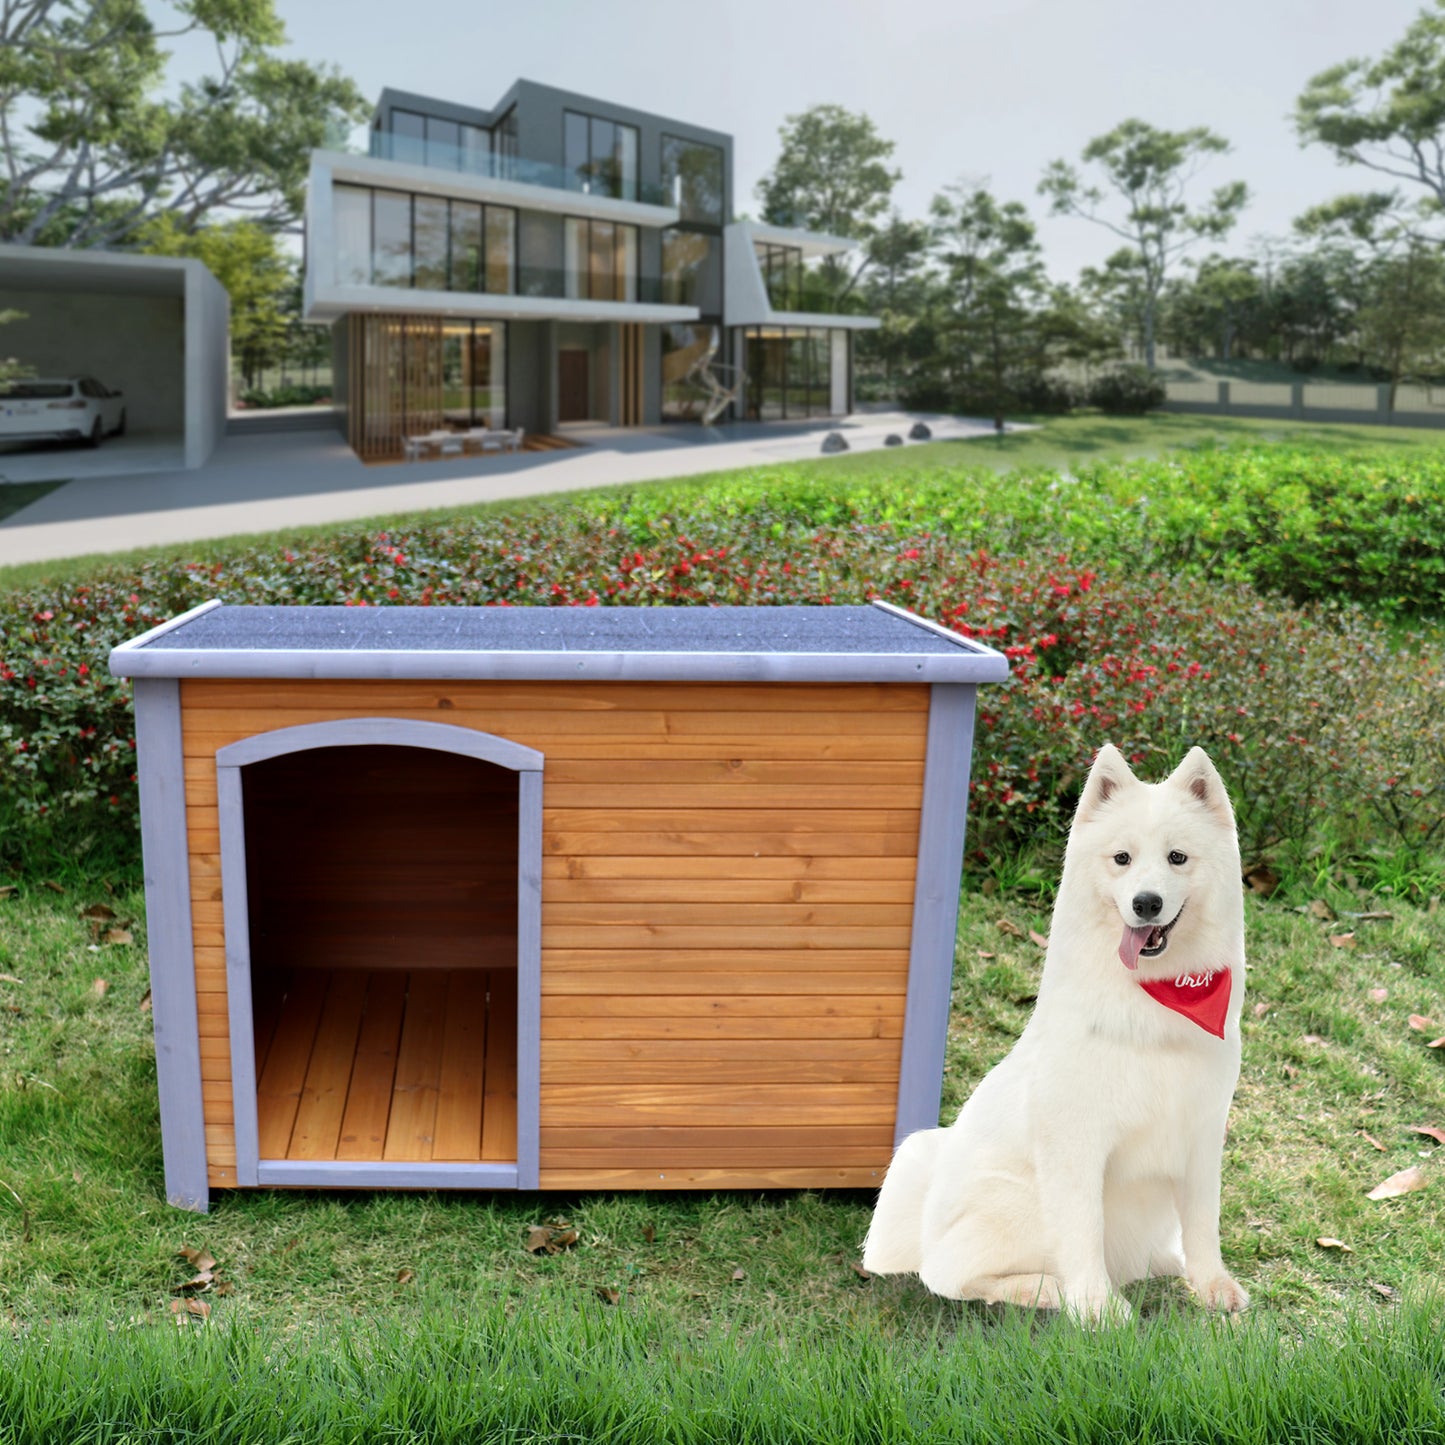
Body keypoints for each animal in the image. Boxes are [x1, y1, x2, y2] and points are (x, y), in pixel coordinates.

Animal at [861, 745, 1248, 1323]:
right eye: (1122, 859)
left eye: (1177, 858)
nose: (1147, 903)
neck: (1156, 998)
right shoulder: (1078, 1142)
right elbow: (1083, 1229)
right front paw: (1097, 1309)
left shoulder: (1200, 1131)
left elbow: (1204, 1221)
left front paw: (1211, 1285)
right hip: (1016, 1204)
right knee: (948, 1275)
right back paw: (1046, 1291)